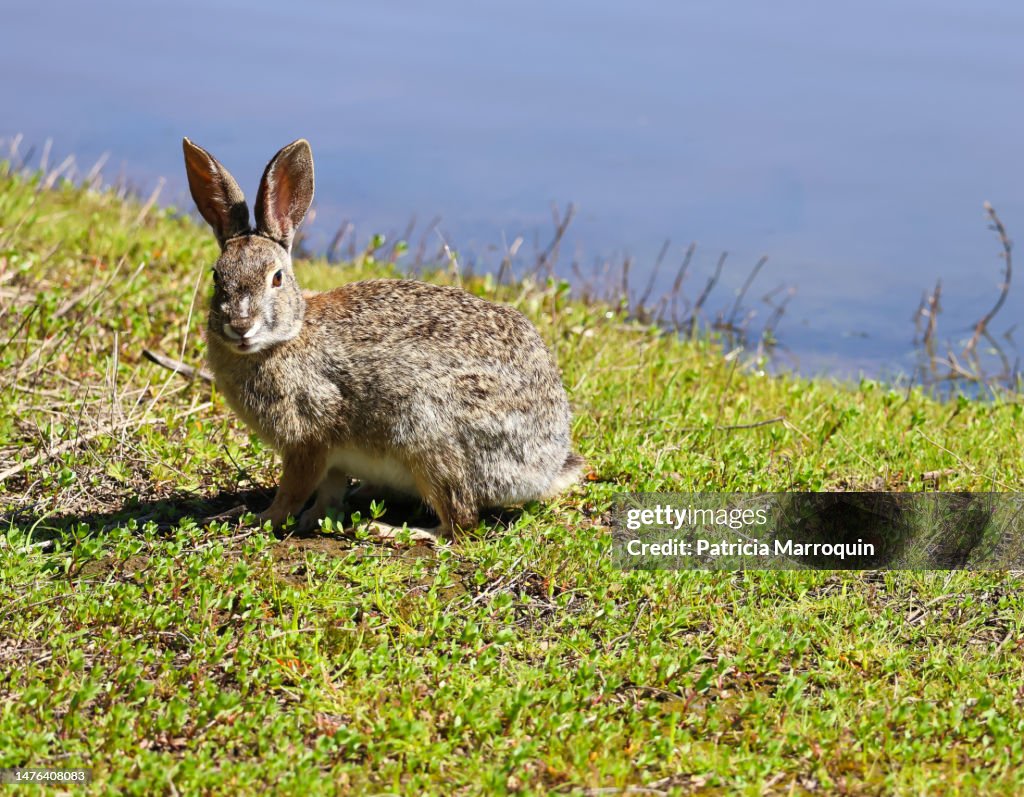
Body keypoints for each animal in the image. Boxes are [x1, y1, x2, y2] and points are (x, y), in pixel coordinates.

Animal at [182, 137, 584, 539]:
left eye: (276, 278)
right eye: (217, 276)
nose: (240, 325)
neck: (287, 337)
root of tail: (543, 465)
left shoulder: (310, 437)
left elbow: (294, 490)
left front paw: (264, 518)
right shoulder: (331, 459)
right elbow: (328, 491)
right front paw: (314, 519)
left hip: (428, 433)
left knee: (459, 522)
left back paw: (392, 530)